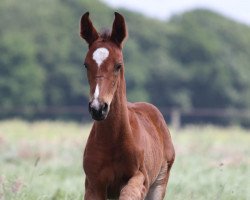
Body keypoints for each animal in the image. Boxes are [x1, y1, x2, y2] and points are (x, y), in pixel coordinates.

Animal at [80, 11, 176, 199]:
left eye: (118, 65)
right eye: (86, 65)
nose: (98, 108)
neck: (113, 141)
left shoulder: (140, 179)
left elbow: (129, 192)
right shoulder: (93, 185)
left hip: (160, 183)